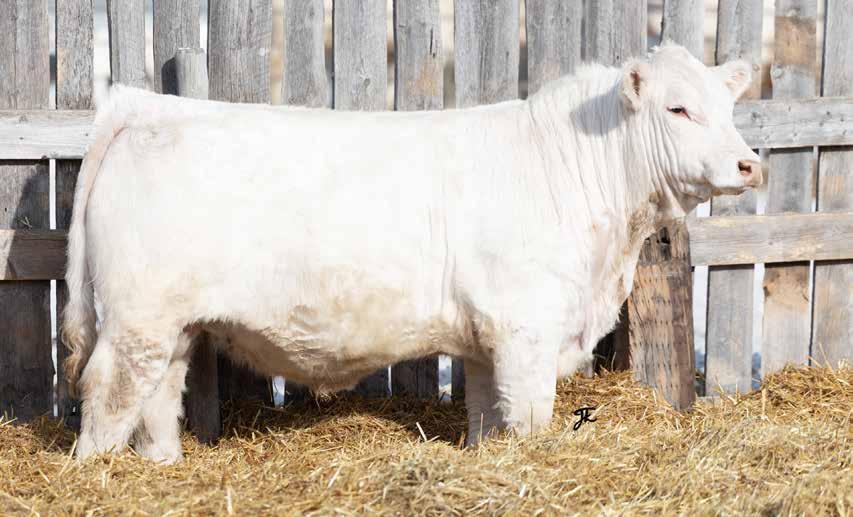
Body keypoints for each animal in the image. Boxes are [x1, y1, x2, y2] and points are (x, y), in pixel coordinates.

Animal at [62, 44, 761, 463]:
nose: (749, 163)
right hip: (137, 319)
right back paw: (99, 472)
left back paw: (164, 465)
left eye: (728, 106)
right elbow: (529, 418)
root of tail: (144, 107)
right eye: (678, 108)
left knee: (156, 396)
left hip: (170, 325)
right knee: (110, 393)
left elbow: (487, 414)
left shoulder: (486, 341)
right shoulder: (526, 330)